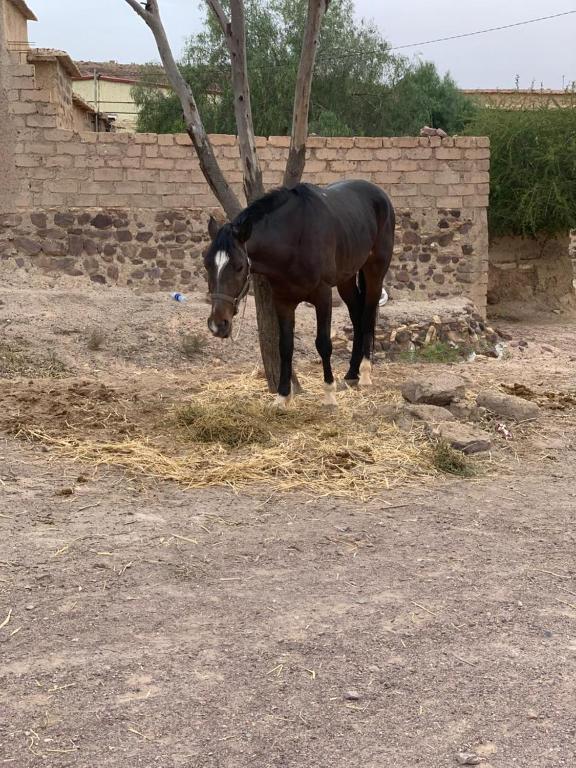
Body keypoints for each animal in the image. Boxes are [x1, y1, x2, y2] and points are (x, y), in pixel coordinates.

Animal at [204, 179, 395, 408]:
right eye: (206, 264)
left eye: (240, 266)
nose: (218, 324)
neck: (294, 239)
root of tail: (379, 193)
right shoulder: (283, 301)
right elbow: (285, 346)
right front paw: (282, 396)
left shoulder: (323, 296)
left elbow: (323, 344)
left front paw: (329, 395)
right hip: (346, 279)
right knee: (357, 317)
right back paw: (351, 374)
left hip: (374, 272)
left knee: (367, 317)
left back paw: (365, 374)